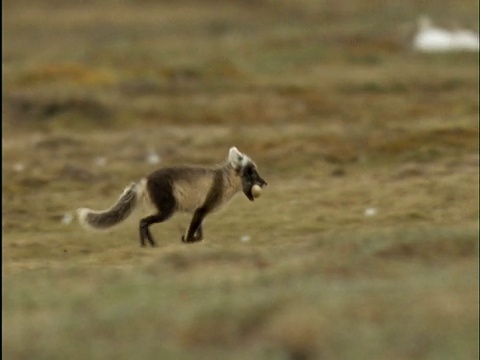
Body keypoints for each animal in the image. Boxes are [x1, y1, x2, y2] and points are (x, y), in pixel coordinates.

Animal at [77, 147, 268, 248]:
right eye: (251, 173)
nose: (265, 183)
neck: (224, 180)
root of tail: (143, 180)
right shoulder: (203, 208)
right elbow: (193, 231)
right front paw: (188, 241)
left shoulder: (200, 211)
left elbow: (199, 231)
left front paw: (192, 240)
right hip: (167, 211)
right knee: (143, 221)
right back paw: (147, 245)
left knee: (144, 222)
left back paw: (150, 245)